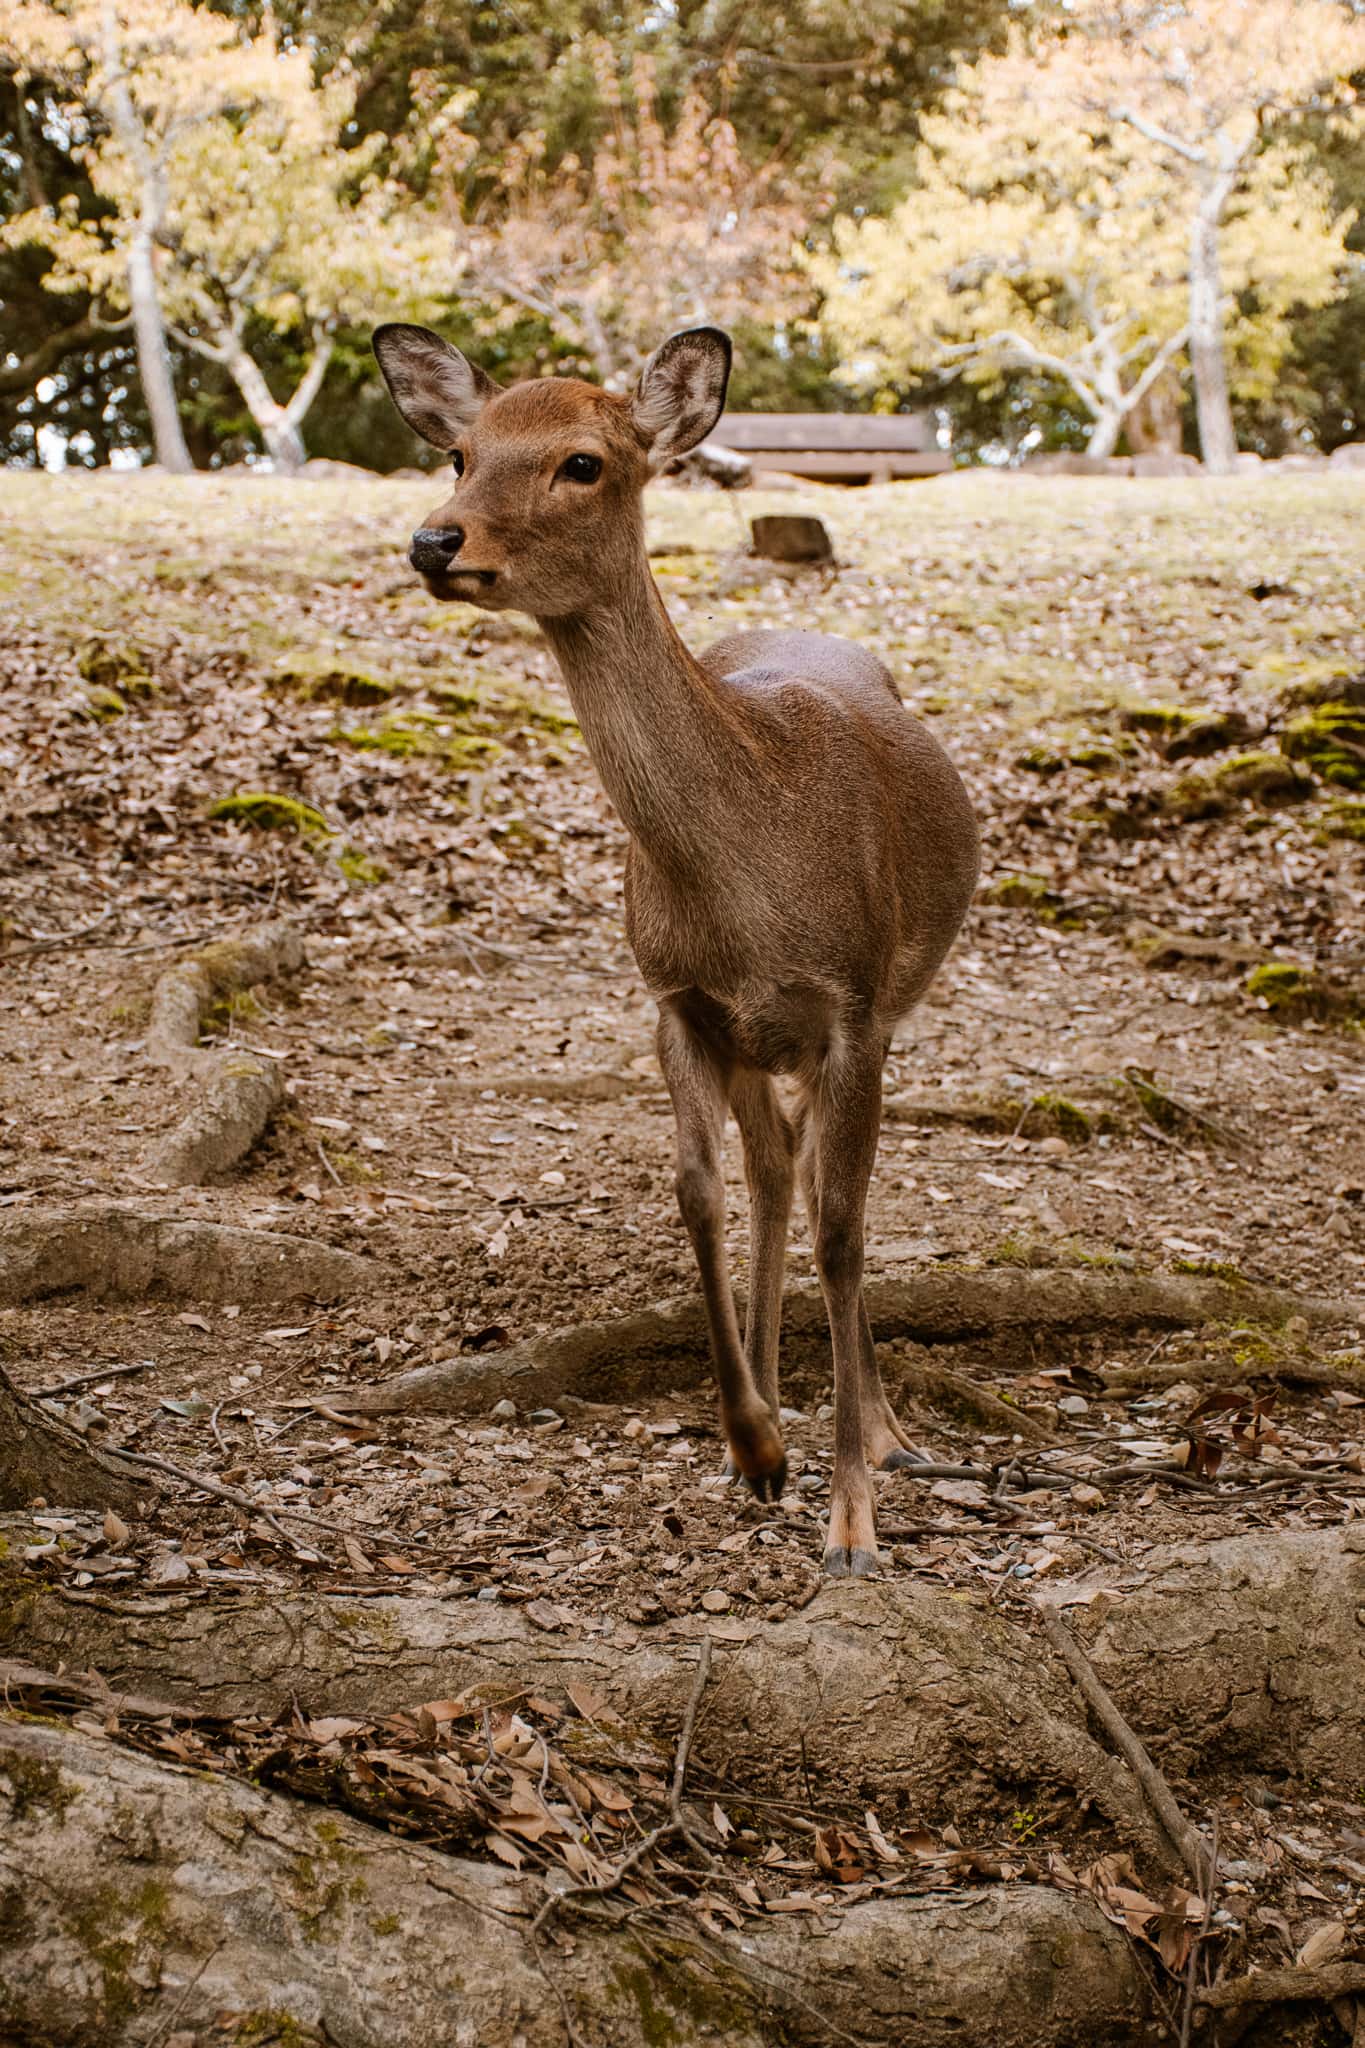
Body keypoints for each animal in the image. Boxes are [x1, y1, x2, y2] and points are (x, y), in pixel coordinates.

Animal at [374, 319, 982, 1572]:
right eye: (460, 450)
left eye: (583, 462)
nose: (435, 538)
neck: (749, 882)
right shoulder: (678, 999)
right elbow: (697, 1190)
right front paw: (754, 1442)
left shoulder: (853, 1007)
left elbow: (845, 1231)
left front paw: (855, 1520)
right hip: (756, 1041)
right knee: (772, 1167)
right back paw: (775, 1408)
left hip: (873, 1011)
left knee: (826, 1191)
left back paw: (883, 1429)